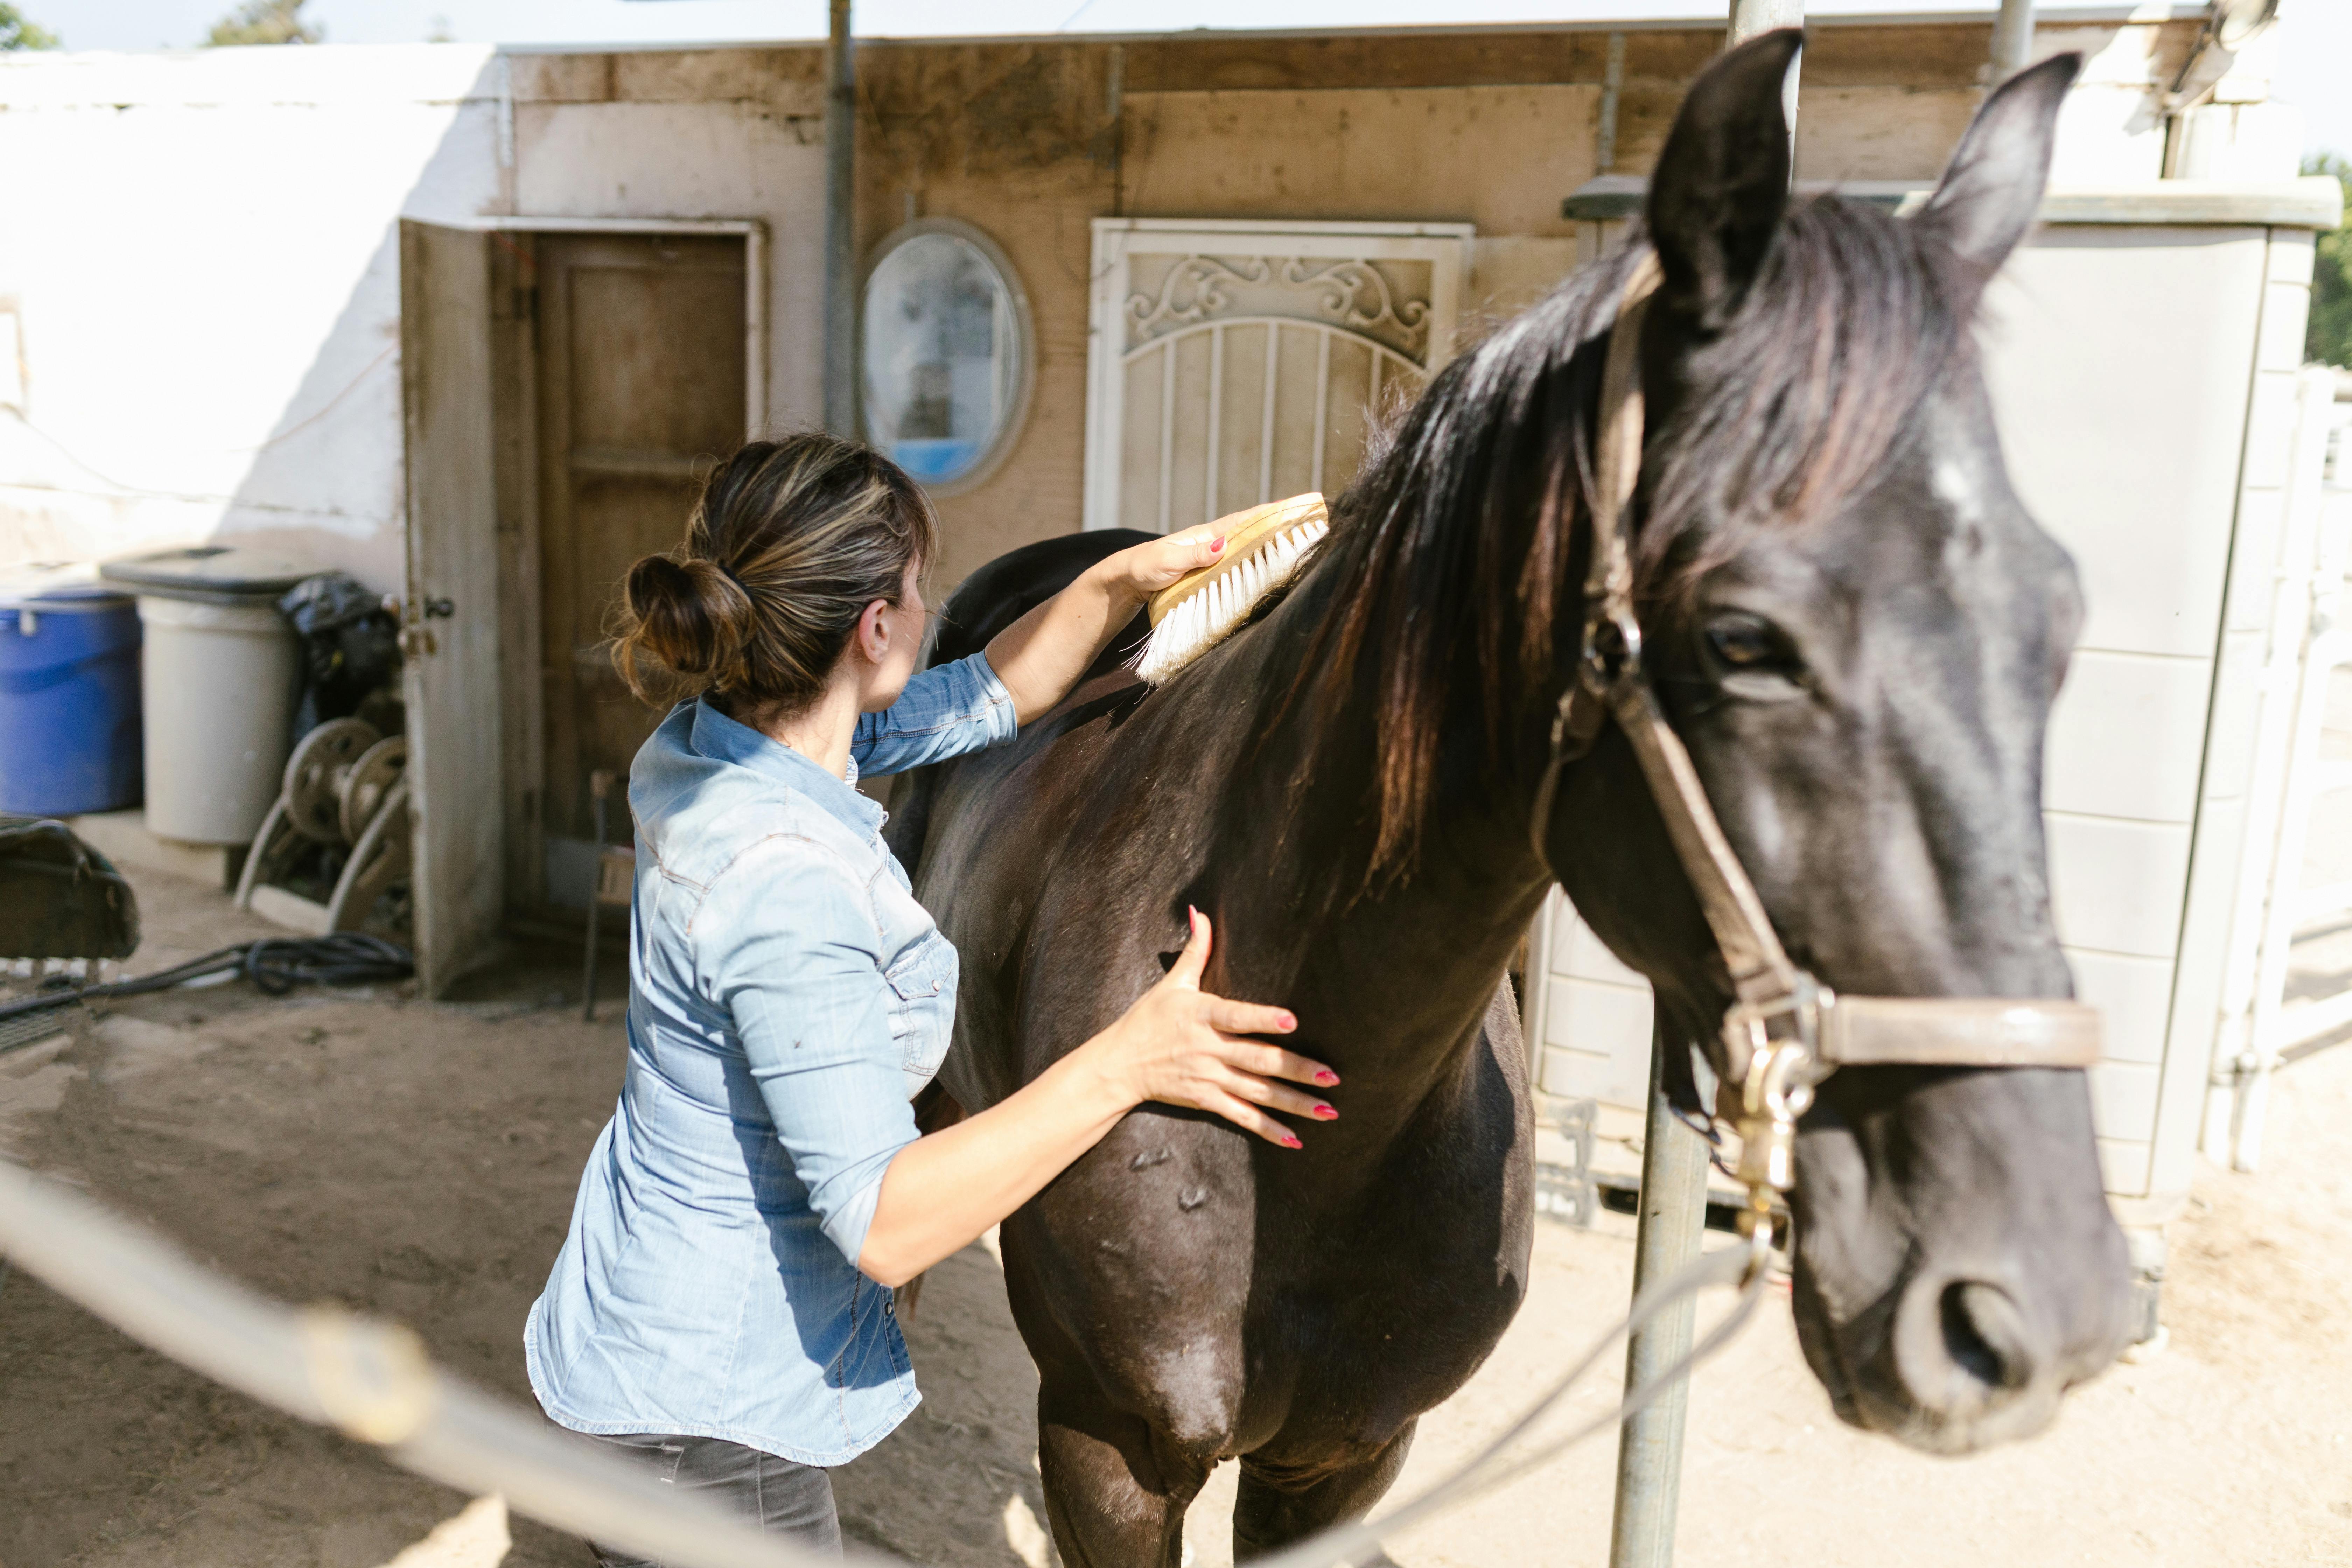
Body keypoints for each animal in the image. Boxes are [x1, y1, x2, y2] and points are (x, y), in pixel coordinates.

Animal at [884, 34, 2135, 1561]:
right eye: (1743, 640)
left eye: (2058, 617)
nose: (2041, 1298)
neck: (1317, 1124)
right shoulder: (1105, 1454)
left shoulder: (1342, 1459)